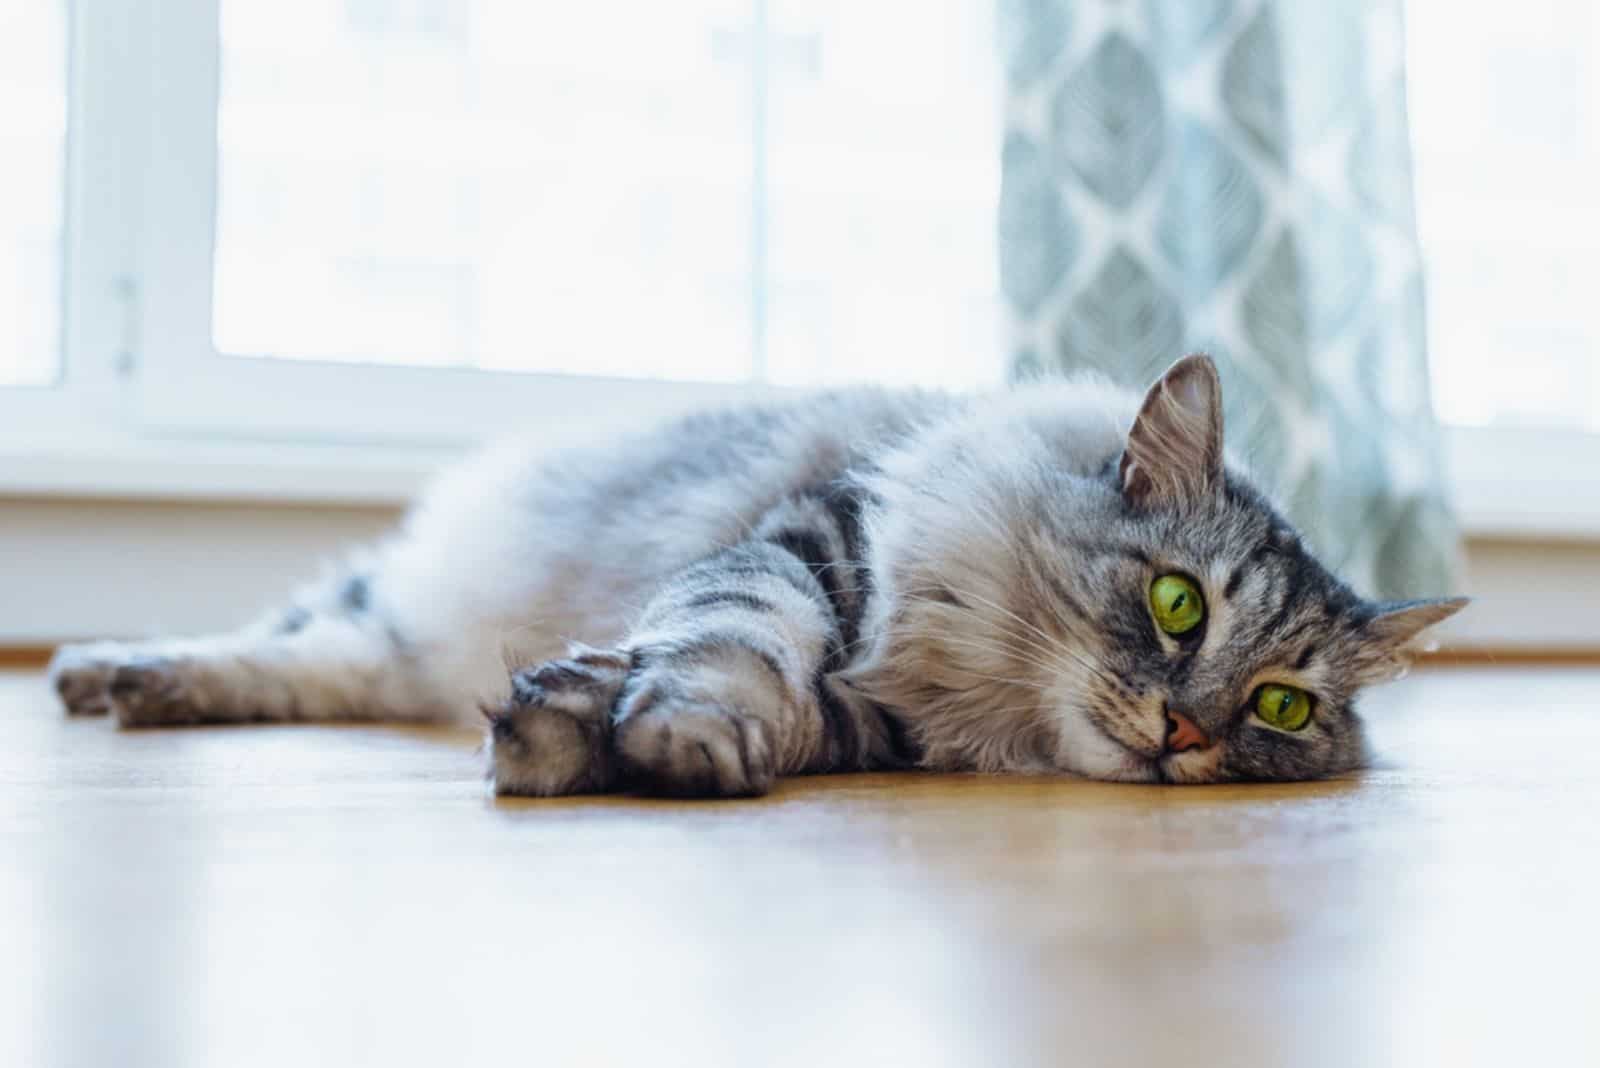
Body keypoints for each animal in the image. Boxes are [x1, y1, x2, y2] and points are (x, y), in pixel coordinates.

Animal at [50, 356, 1465, 793]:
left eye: (1281, 707)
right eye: (1177, 605)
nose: (1184, 733)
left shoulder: (878, 726)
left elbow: (783, 709)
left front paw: (592, 726)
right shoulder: (807, 543)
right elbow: (732, 640)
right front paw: (662, 725)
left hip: (382, 653)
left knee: (313, 670)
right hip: (384, 603)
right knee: (277, 637)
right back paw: (105, 671)